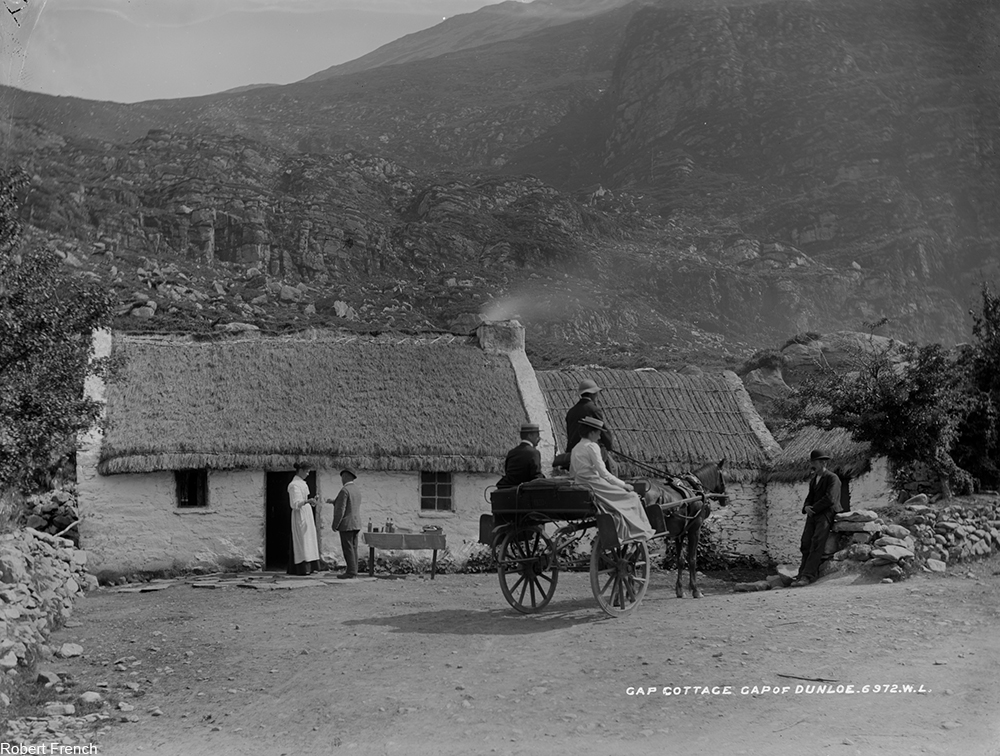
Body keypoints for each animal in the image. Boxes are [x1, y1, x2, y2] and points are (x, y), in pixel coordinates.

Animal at [640, 460, 728, 596]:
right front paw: (695, 589)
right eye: (723, 475)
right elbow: (692, 559)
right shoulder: (694, 530)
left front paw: (680, 589)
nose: (725, 499)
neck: (695, 490)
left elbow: (680, 560)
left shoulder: (679, 533)